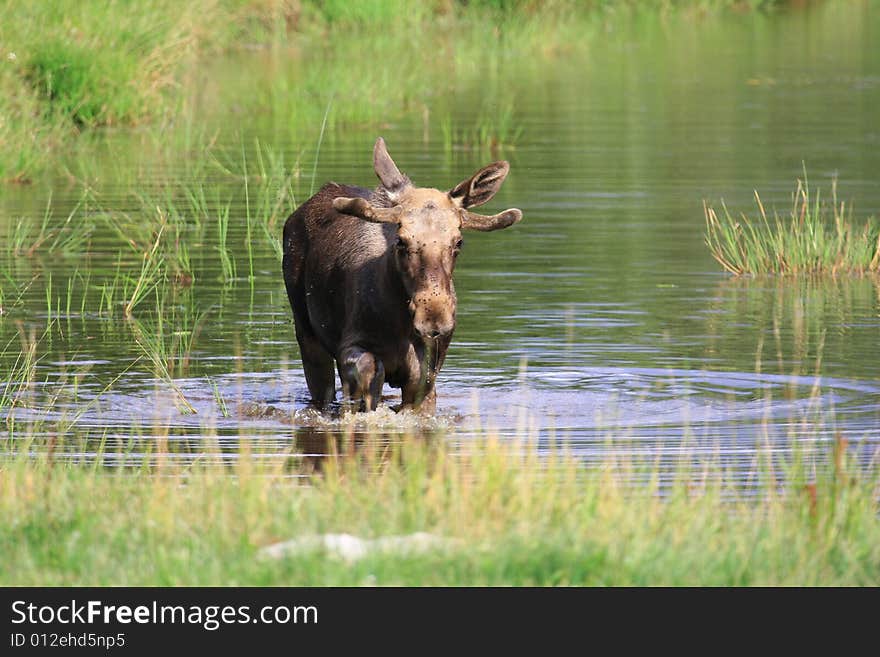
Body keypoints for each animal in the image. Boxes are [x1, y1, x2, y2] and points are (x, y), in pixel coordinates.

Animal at [282, 138, 524, 410]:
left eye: (458, 241)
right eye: (401, 240)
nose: (433, 316)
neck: (397, 324)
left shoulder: (428, 371)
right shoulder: (350, 345)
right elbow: (368, 372)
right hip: (307, 334)